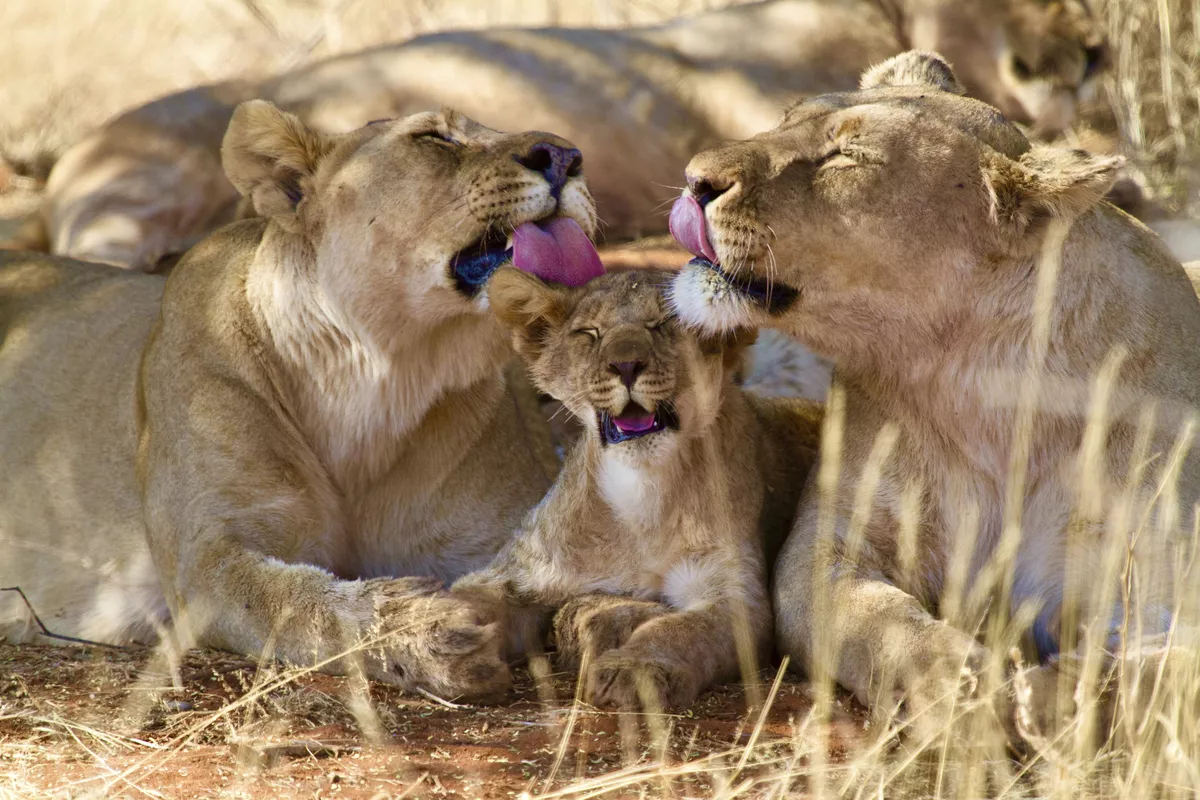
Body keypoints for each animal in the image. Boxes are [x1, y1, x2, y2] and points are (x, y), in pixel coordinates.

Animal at [0, 100, 609, 700]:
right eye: (435, 137)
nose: (566, 156)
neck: (381, 377)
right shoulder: (206, 559)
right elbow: (297, 602)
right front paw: (428, 630)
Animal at [437, 267, 821, 709]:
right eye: (589, 333)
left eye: (664, 324)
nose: (625, 365)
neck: (642, 493)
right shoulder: (522, 570)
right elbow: (467, 599)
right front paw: (439, 641)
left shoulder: (737, 596)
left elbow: (681, 631)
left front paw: (636, 670)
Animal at [668, 51, 1200, 743]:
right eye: (785, 120)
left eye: (847, 157)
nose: (693, 180)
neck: (980, 388)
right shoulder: (830, 544)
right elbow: (881, 621)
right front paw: (957, 685)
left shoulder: (1156, 579)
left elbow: (1165, 671)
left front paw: (1056, 695)